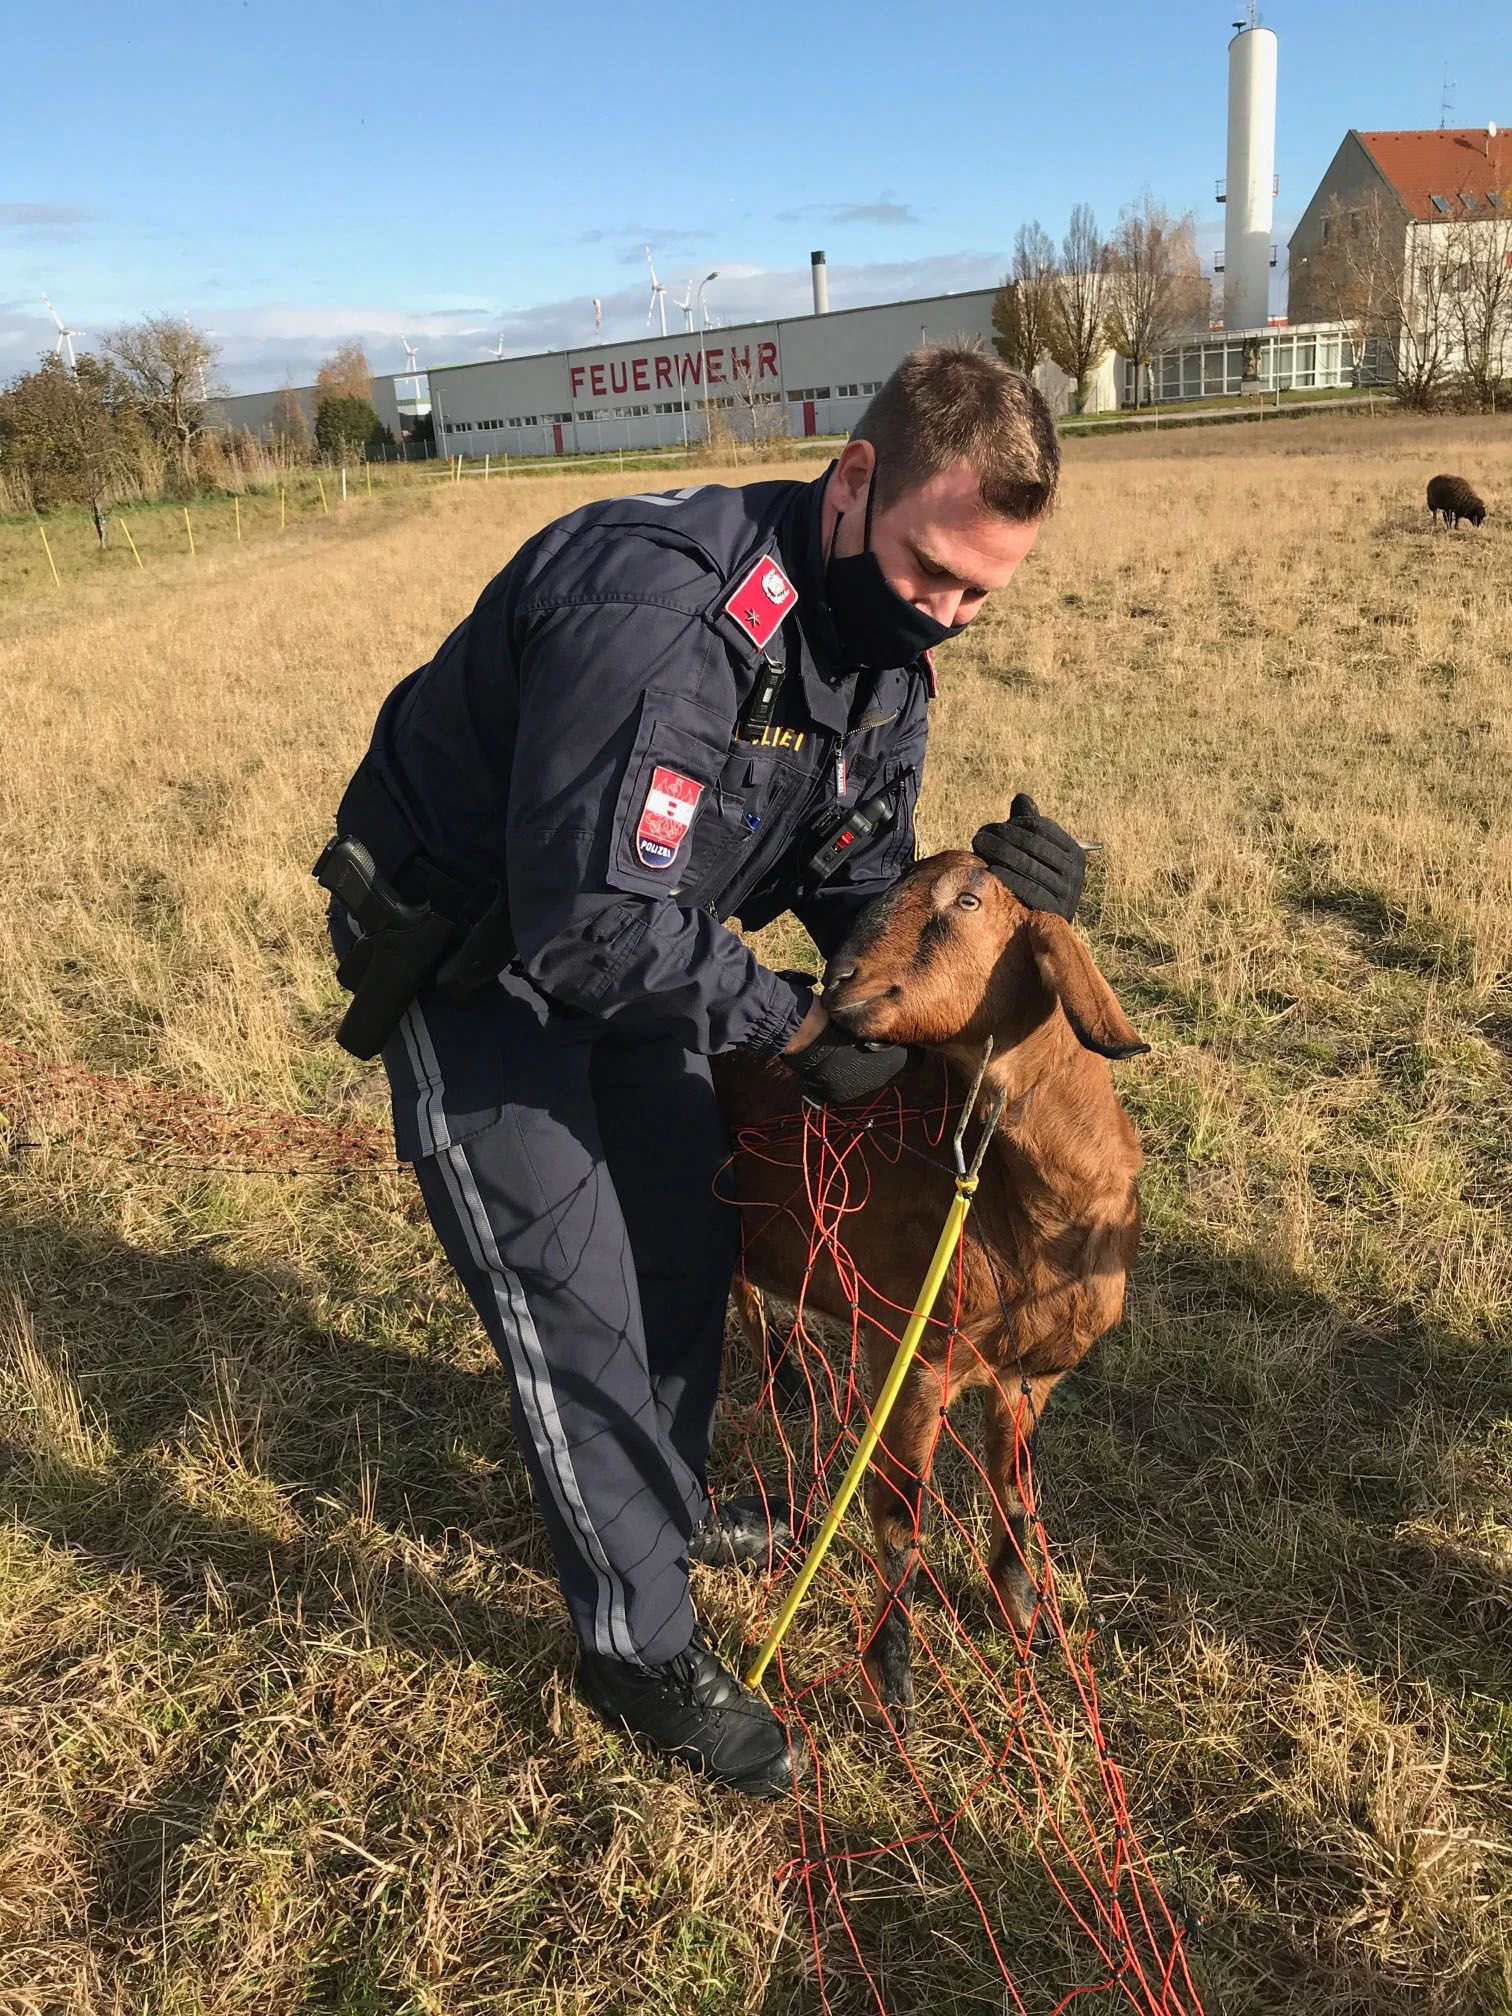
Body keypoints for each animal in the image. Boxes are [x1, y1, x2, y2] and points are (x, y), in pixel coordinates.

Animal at [712, 851, 1147, 1730]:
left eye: (968, 900)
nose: (837, 985)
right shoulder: (909, 1359)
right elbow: (898, 1517)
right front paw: (893, 1682)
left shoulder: (1027, 1378)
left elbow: (1016, 1496)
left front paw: (1027, 1620)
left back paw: (786, 1379)